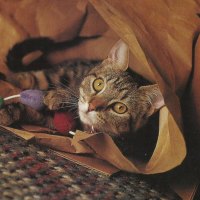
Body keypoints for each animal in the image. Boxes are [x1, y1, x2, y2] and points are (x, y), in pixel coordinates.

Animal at [0, 39, 164, 159]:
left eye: (120, 108)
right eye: (98, 84)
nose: (92, 106)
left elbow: (37, 114)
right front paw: (57, 96)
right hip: (61, 73)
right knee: (27, 77)